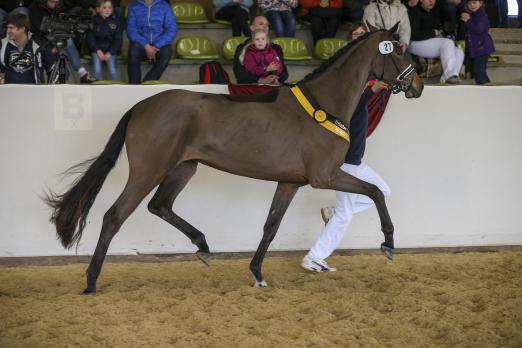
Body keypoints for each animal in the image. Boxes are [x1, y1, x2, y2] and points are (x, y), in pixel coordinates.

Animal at [46, 25, 422, 294]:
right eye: (398, 50)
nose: (417, 84)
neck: (323, 105)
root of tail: (140, 106)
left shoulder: (290, 182)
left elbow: (271, 226)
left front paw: (257, 274)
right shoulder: (325, 176)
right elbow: (375, 192)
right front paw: (388, 243)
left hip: (184, 168)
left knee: (160, 206)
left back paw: (203, 245)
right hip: (148, 170)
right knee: (115, 215)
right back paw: (91, 281)